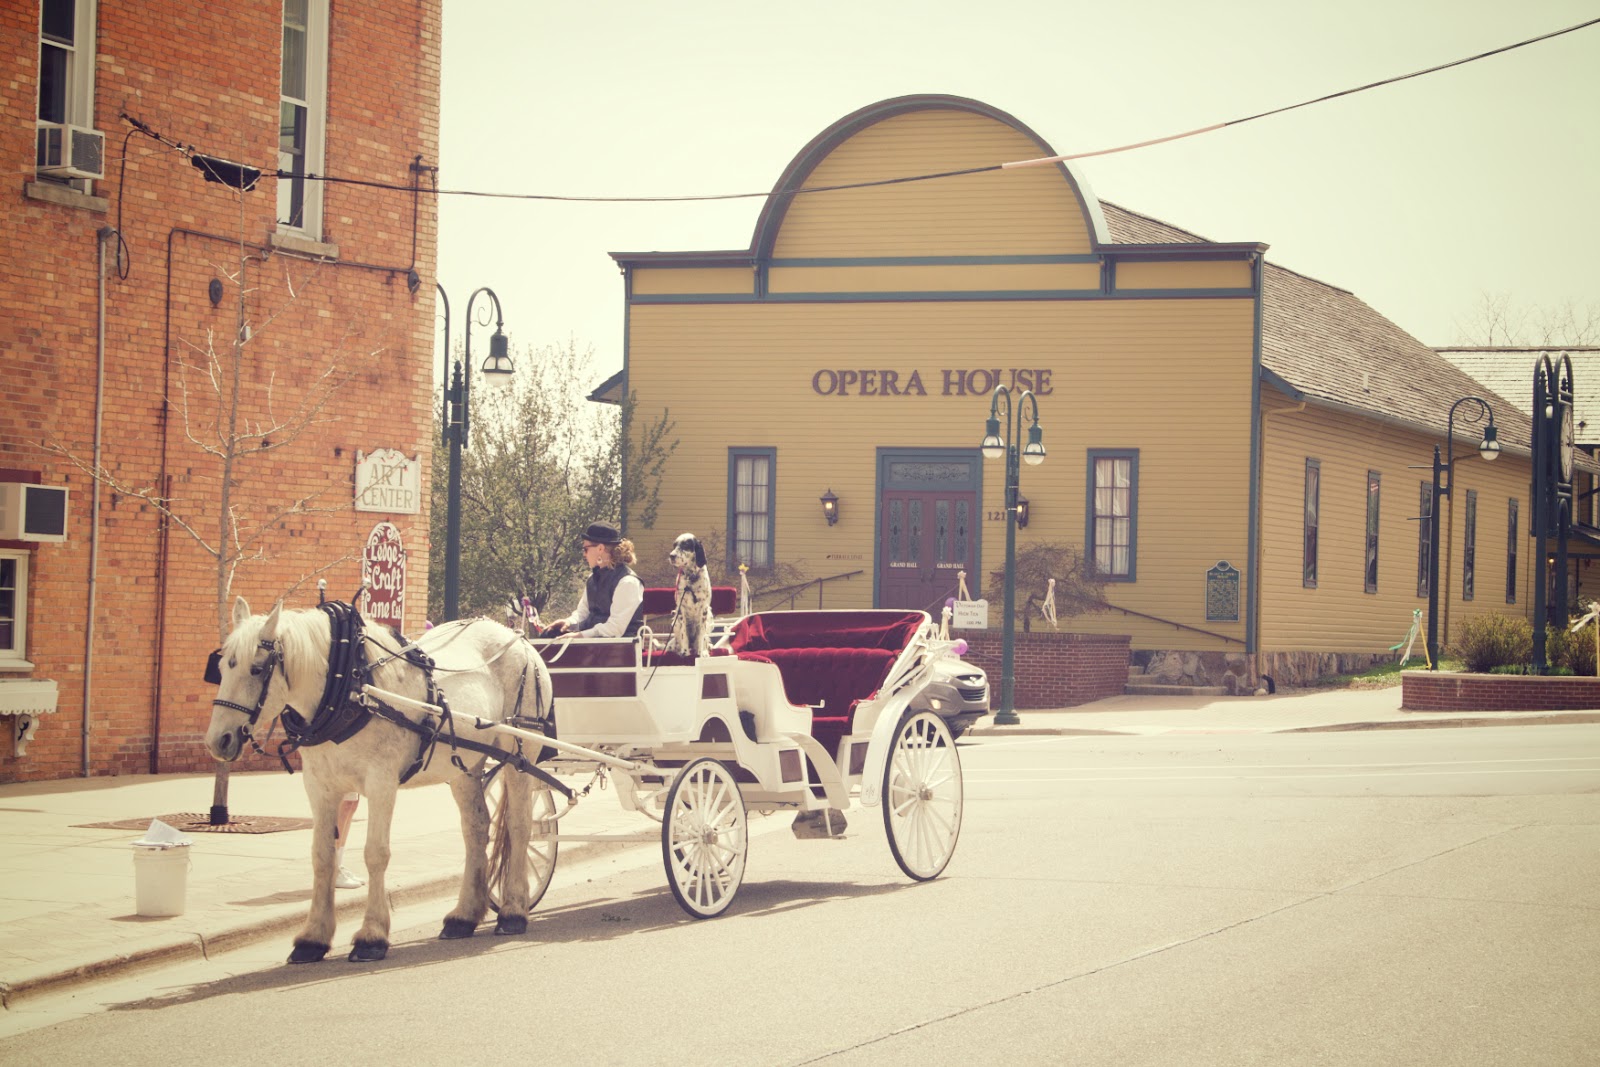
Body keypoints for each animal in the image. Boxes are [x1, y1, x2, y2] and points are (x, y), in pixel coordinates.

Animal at [203, 598, 553, 966]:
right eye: (221, 667)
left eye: (257, 669)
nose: (218, 741)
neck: (349, 686)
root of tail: (519, 639)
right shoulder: (320, 787)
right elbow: (322, 857)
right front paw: (313, 938)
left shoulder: (380, 782)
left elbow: (376, 853)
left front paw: (372, 936)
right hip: (465, 768)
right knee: (476, 829)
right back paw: (463, 916)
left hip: (520, 755)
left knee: (520, 826)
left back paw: (513, 912)